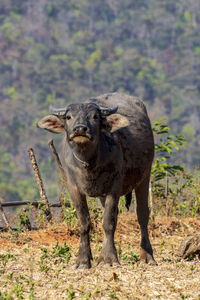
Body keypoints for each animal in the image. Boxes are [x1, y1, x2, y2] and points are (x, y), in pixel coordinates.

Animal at [38, 92, 156, 268]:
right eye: (68, 116)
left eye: (95, 116)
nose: (80, 129)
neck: (90, 163)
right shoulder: (73, 188)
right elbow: (84, 223)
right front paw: (83, 260)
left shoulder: (115, 186)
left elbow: (108, 222)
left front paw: (109, 259)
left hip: (144, 176)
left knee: (142, 216)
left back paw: (147, 256)